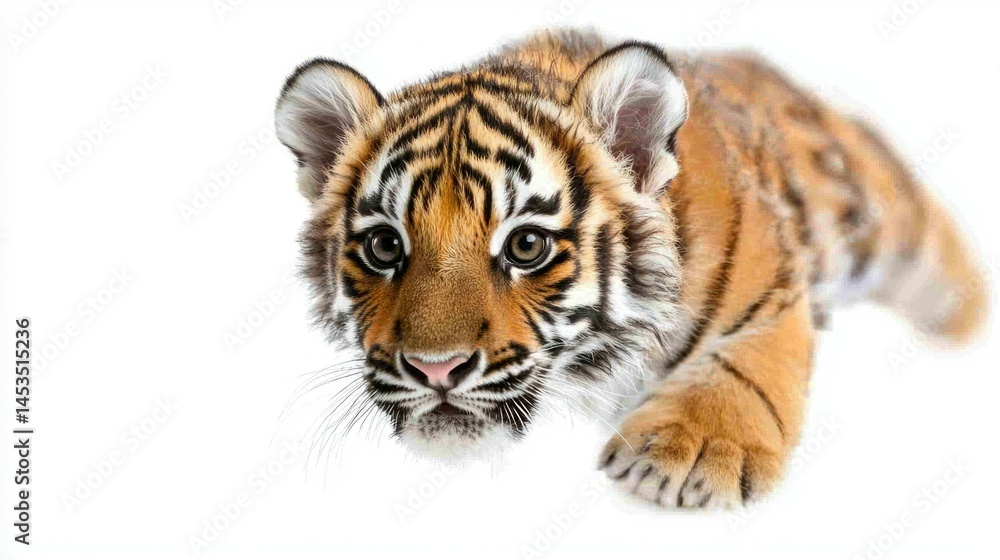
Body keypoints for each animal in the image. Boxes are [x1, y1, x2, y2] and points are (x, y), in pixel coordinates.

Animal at [274, 29, 988, 508]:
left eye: (526, 247)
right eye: (384, 247)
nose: (435, 370)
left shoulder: (773, 292)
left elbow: (745, 366)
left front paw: (691, 454)